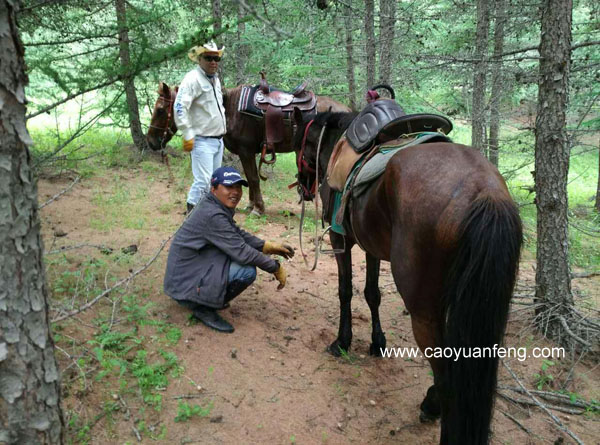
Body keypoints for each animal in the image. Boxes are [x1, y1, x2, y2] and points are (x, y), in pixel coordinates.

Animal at [146, 83, 352, 217]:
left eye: (161, 110)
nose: (151, 142)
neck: (229, 108)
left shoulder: (245, 151)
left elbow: (253, 178)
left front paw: (258, 209)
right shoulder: (247, 152)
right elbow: (249, 178)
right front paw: (251, 205)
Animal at [292, 108, 524, 444]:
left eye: (299, 144)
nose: (303, 187)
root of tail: (484, 191)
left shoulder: (341, 240)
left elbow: (345, 291)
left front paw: (342, 341)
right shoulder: (371, 244)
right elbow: (372, 293)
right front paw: (377, 342)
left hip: (423, 310)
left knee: (446, 371)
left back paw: (434, 409)